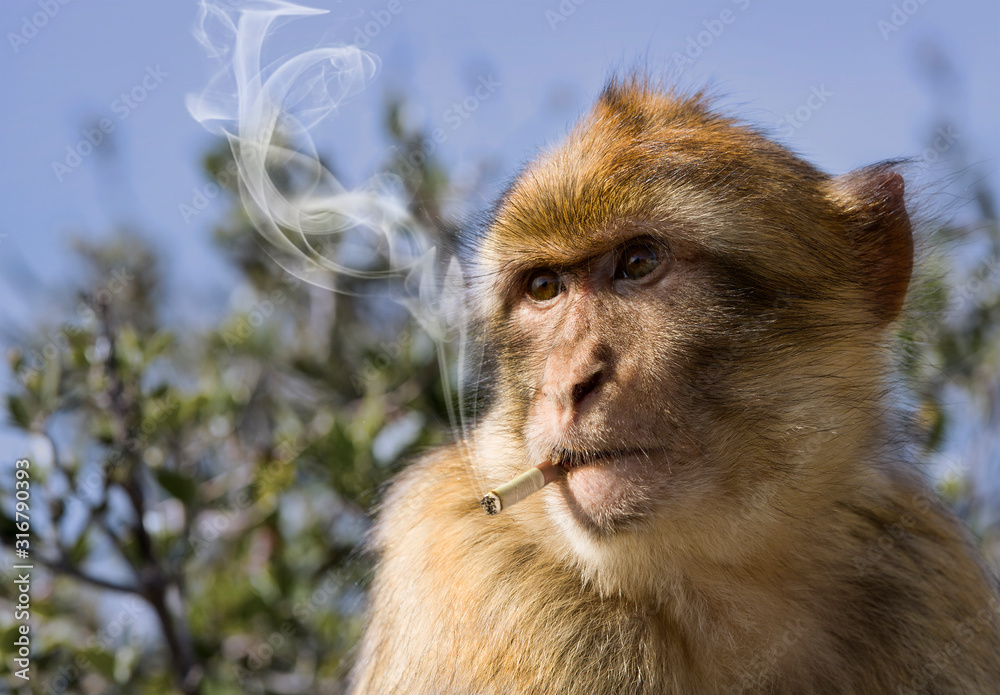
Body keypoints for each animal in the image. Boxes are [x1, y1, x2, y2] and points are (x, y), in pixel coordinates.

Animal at [348, 76, 1000, 694]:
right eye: (544, 287)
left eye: (639, 263)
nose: (568, 383)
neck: (722, 575)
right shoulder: (492, 586)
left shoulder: (924, 570)